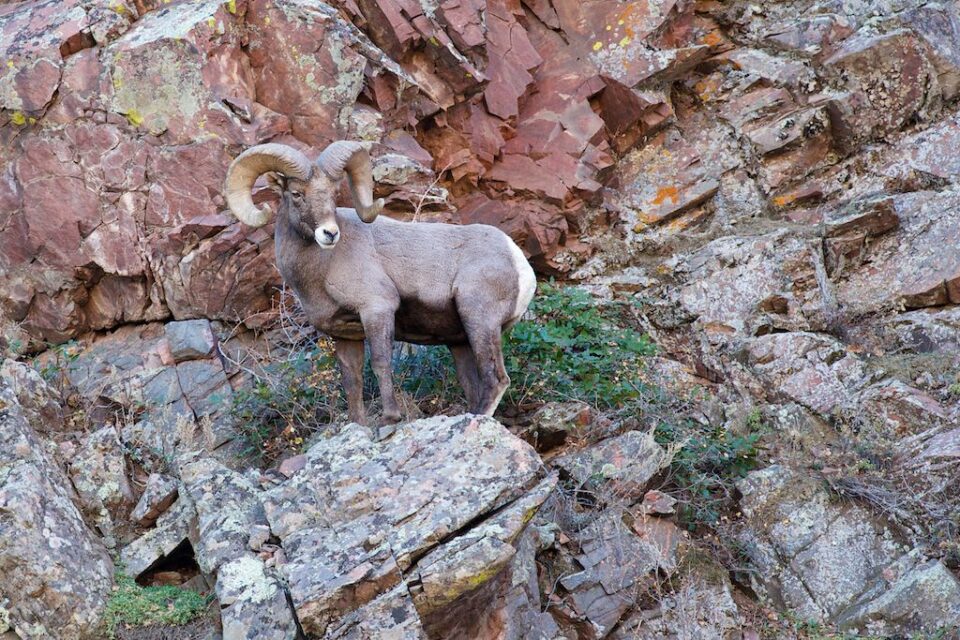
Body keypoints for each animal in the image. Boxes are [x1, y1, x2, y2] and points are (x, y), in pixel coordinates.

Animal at [227, 142, 540, 428]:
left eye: (332, 193)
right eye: (296, 194)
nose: (330, 233)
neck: (321, 270)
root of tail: (519, 263)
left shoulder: (377, 310)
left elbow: (380, 364)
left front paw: (389, 420)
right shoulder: (346, 335)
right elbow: (352, 381)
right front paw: (358, 426)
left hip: (479, 320)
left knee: (496, 379)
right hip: (459, 341)